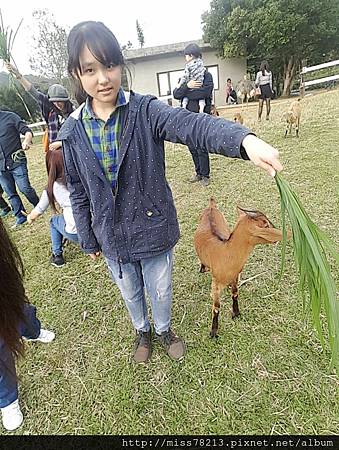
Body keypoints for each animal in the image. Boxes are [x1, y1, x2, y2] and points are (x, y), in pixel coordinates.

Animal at [194, 198, 286, 338]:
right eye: (265, 225)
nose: (278, 235)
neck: (225, 253)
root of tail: (211, 206)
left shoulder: (235, 276)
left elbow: (235, 293)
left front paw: (236, 314)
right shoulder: (215, 284)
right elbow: (216, 307)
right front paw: (213, 332)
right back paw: (203, 268)